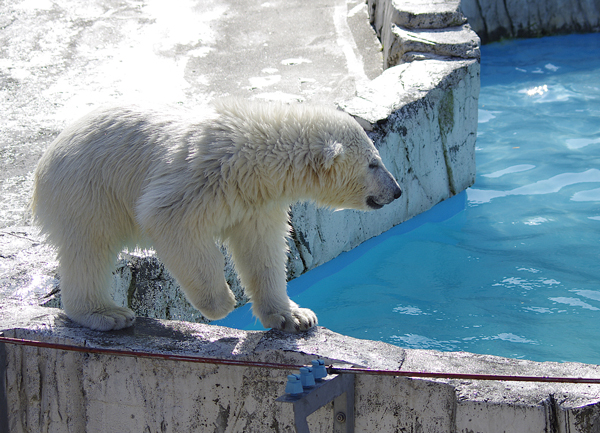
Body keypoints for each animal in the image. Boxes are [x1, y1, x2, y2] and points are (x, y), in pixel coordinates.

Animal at [30, 100, 400, 330]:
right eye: (374, 163)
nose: (396, 190)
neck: (255, 155)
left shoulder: (257, 203)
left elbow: (263, 251)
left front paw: (294, 317)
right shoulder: (200, 180)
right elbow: (170, 222)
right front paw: (222, 302)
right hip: (88, 190)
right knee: (90, 249)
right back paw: (107, 314)